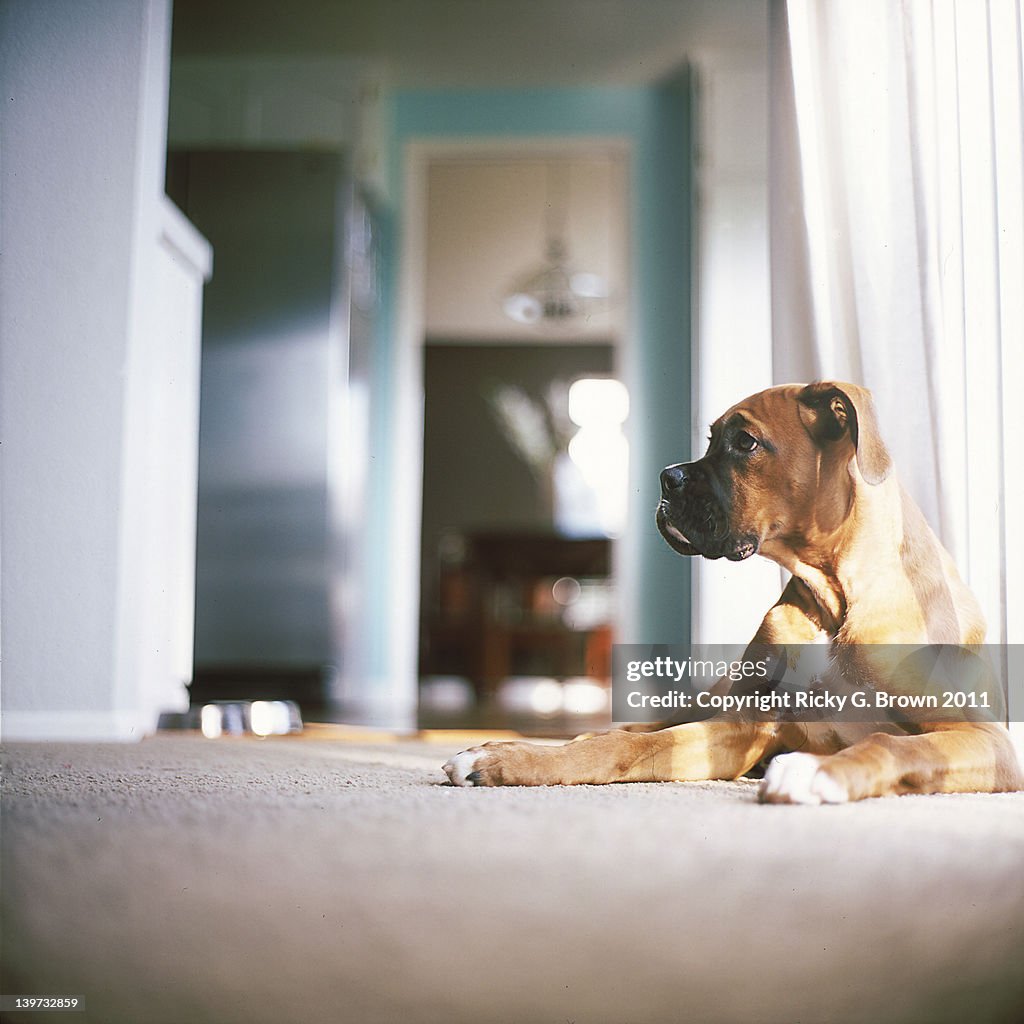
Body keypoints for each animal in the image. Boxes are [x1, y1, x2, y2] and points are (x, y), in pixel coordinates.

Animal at [442, 380, 1024, 802]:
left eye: (745, 442)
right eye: (708, 440)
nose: (666, 478)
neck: (835, 598)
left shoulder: (986, 740)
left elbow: (893, 745)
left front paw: (819, 774)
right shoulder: (742, 725)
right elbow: (637, 746)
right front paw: (511, 760)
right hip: (718, 696)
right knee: (636, 727)